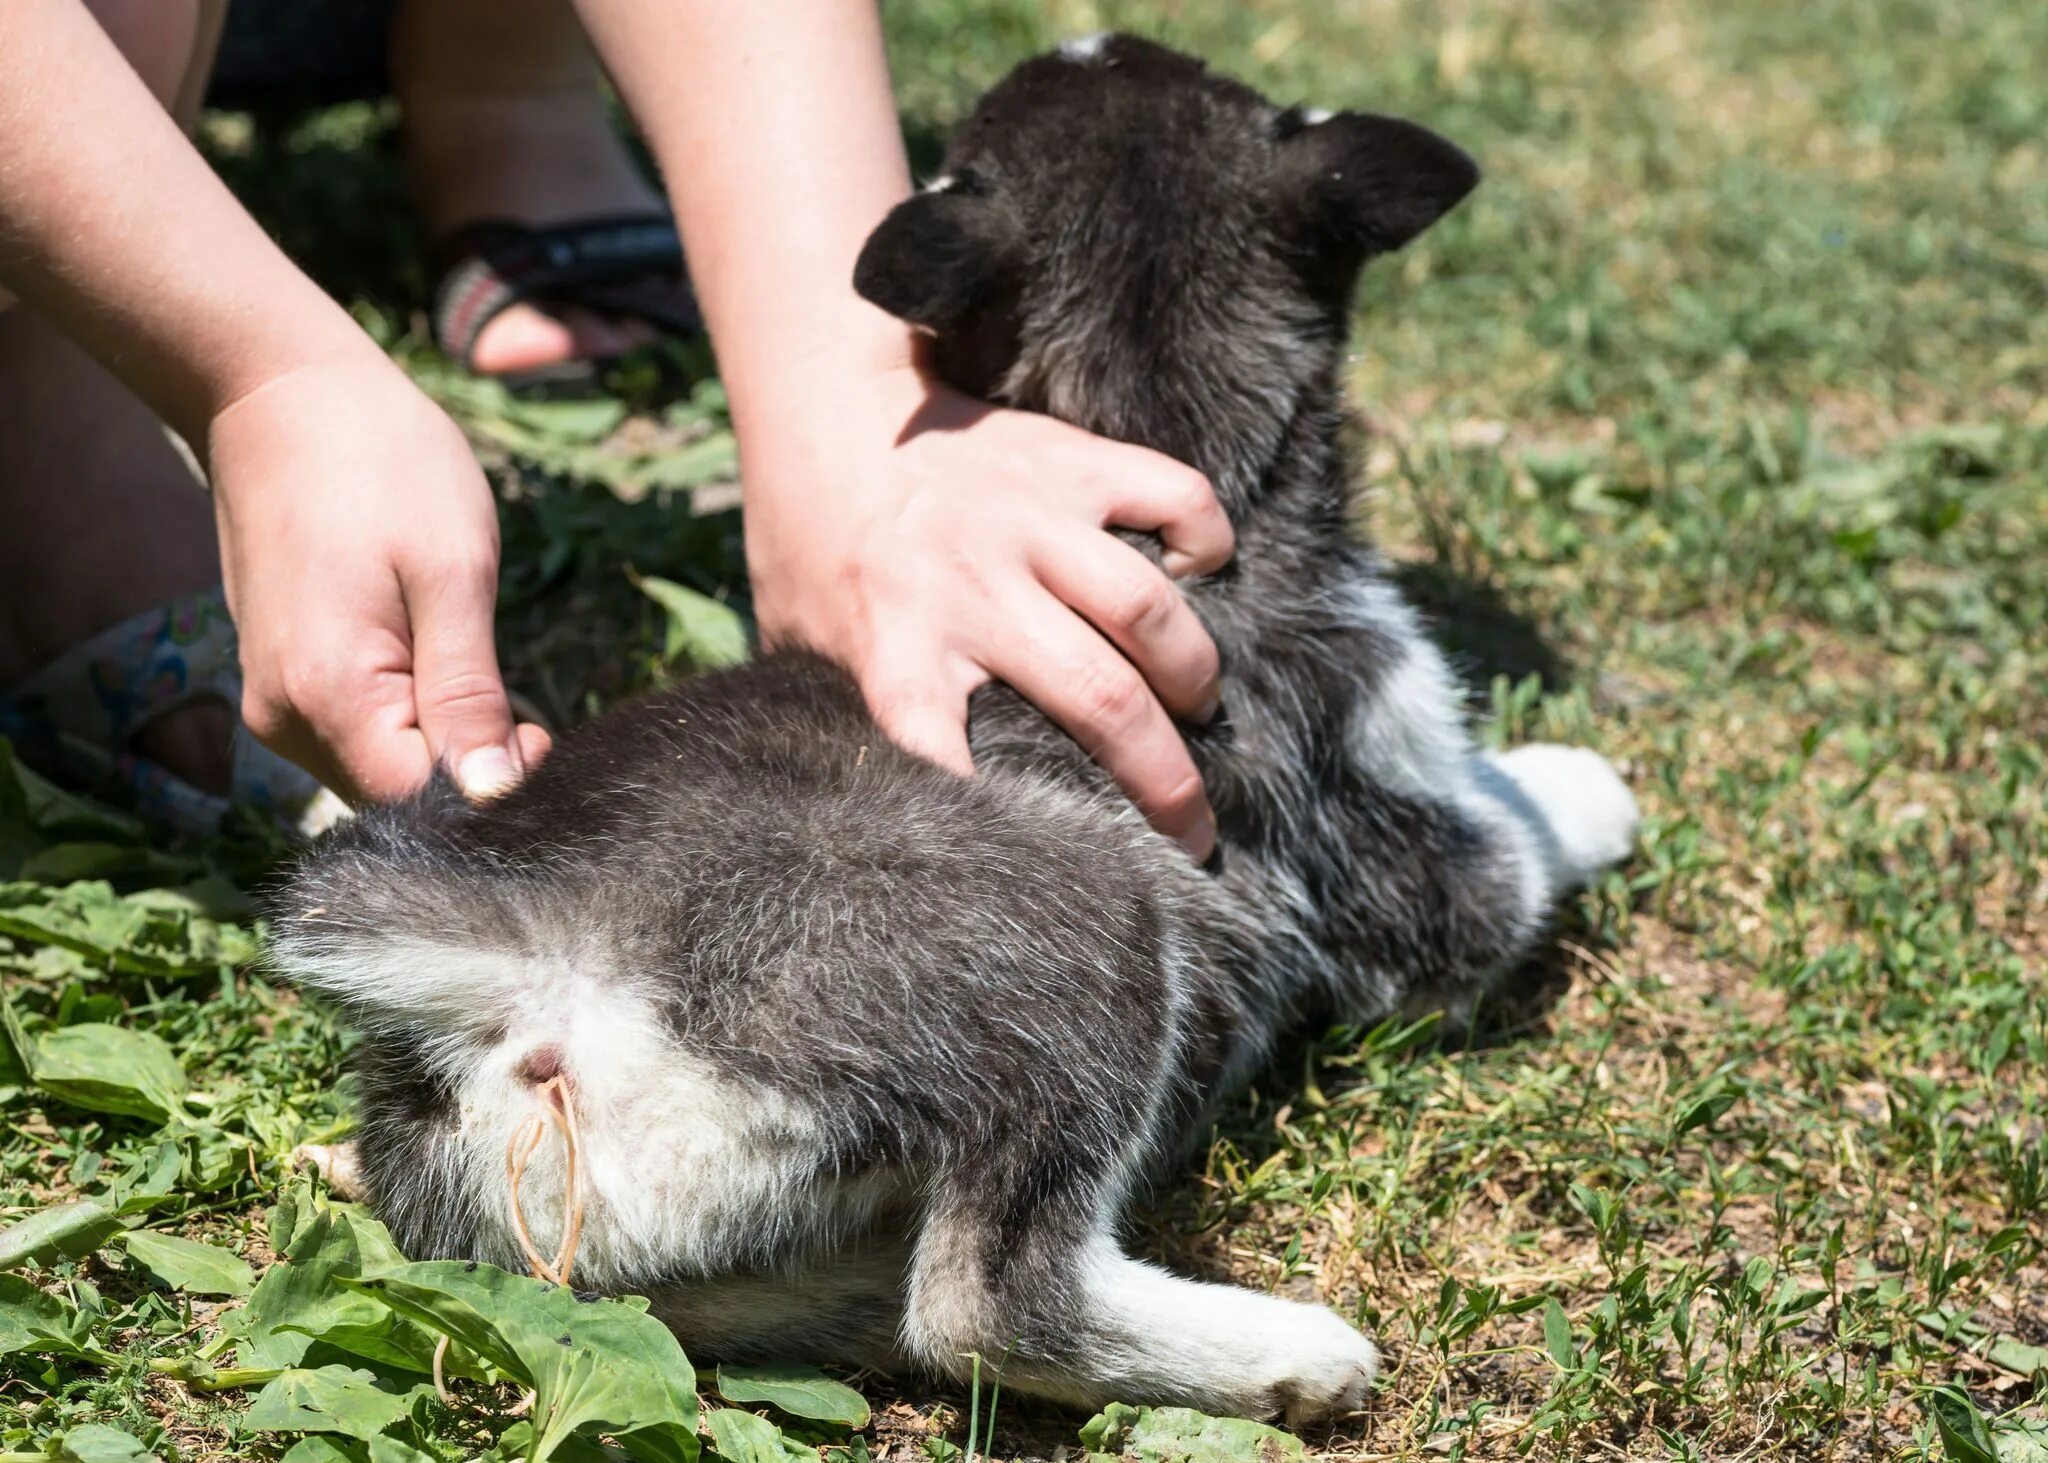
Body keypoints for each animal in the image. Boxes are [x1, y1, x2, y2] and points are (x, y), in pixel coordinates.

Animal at [272, 37, 1638, 1426]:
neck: (1140, 415)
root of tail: (497, 955)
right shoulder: (1387, 824)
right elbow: (1515, 842)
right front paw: (1584, 783)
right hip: (1089, 929)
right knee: (985, 1306)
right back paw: (1284, 1354)